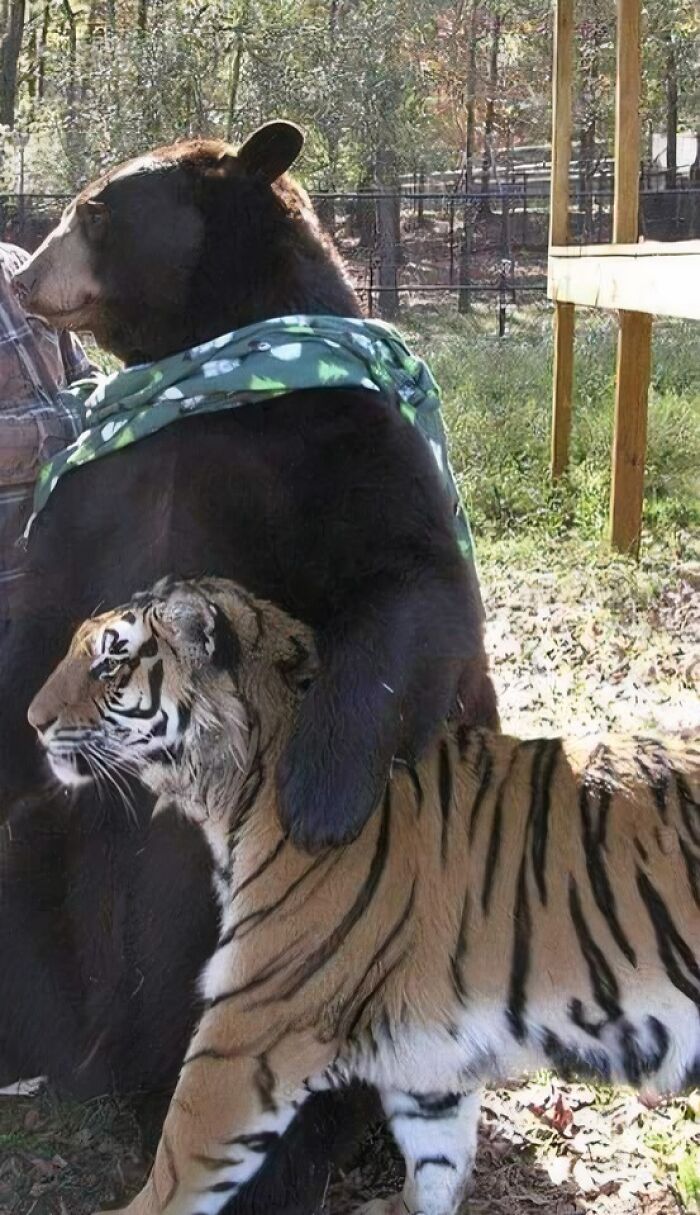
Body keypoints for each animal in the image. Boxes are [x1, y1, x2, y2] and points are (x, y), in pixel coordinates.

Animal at [28, 576, 700, 1215]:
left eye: (109, 664)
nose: (33, 720)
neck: (238, 788)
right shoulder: (432, 1054)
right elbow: (437, 1162)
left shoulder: (250, 1027)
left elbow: (176, 1163)